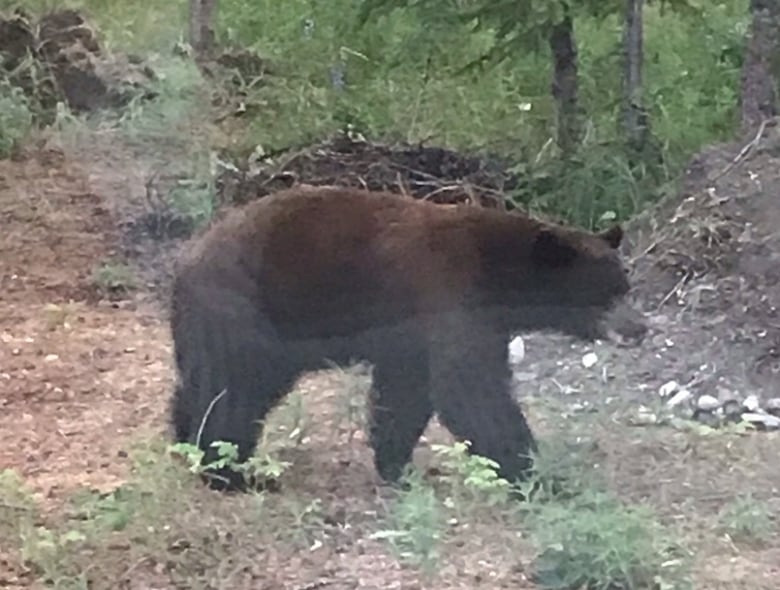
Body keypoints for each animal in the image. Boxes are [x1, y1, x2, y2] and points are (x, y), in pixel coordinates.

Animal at [171, 185, 632, 494]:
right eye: (608, 294)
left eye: (625, 287)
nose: (639, 327)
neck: (499, 272)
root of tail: (187, 260)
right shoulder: (450, 296)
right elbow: (472, 392)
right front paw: (538, 476)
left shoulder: (411, 336)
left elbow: (406, 393)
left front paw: (398, 467)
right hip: (244, 310)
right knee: (231, 393)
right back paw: (230, 474)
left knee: (208, 386)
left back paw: (184, 445)